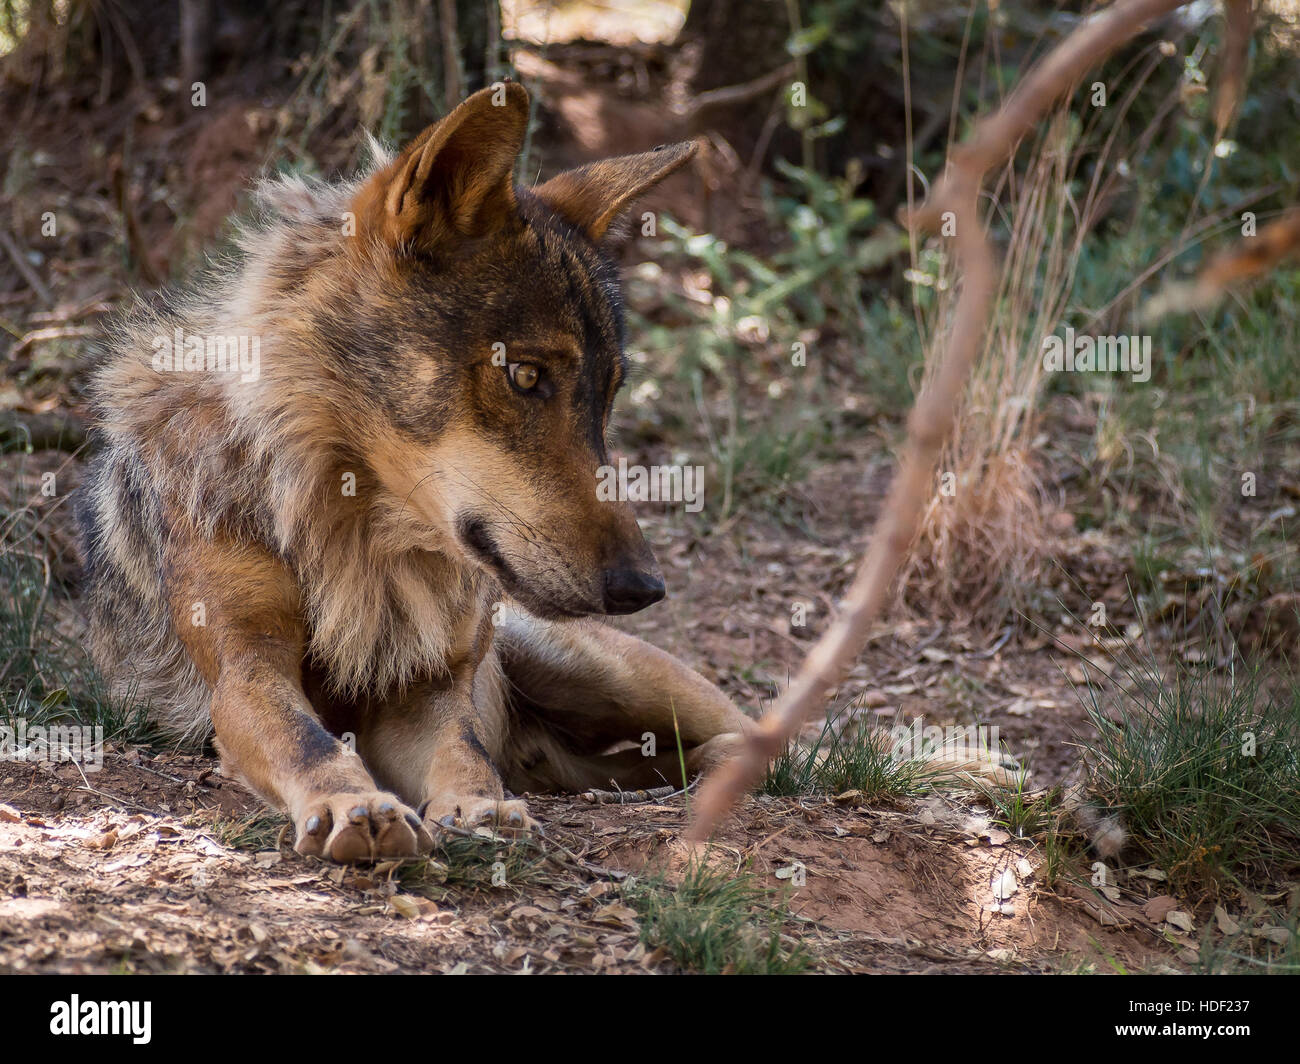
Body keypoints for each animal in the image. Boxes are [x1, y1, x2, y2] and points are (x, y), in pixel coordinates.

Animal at [76, 85, 754, 863]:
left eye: (607, 395)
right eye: (526, 376)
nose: (645, 587)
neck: (353, 524)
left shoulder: (425, 691)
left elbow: (464, 754)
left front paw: (482, 808)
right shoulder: (245, 669)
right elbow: (308, 741)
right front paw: (352, 804)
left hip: (595, 669)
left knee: (755, 731)